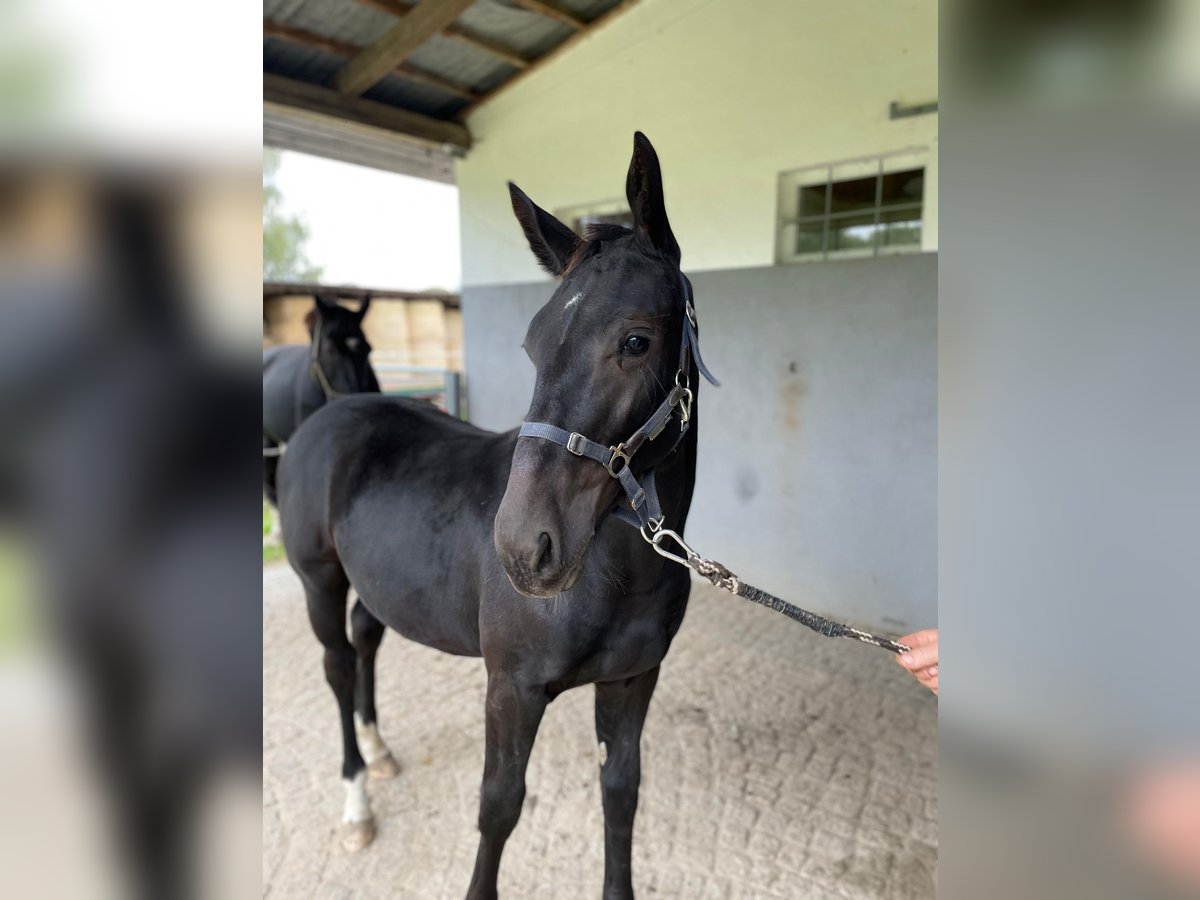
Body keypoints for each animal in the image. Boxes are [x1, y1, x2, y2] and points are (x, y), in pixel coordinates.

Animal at [277, 135, 700, 900]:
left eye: (636, 341)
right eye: (533, 345)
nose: (525, 549)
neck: (616, 575)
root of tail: (325, 416)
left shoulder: (633, 682)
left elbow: (621, 794)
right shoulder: (512, 690)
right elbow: (499, 806)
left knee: (364, 642)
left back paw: (379, 749)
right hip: (318, 582)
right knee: (337, 666)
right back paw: (357, 802)